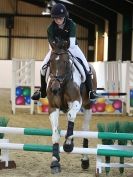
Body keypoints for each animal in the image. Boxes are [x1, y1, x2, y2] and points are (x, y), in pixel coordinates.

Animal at [46, 39, 97, 173]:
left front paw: (68, 145)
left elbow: (70, 116)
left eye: (65, 62)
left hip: (88, 106)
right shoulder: (53, 107)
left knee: (85, 130)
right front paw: (55, 162)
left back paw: (85, 161)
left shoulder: (76, 102)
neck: (63, 83)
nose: (54, 89)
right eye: (50, 62)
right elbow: (55, 133)